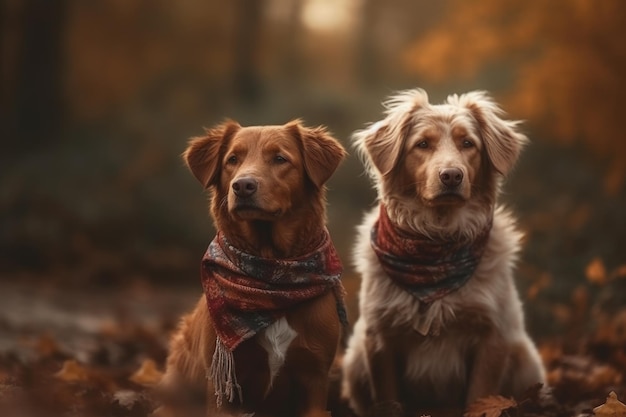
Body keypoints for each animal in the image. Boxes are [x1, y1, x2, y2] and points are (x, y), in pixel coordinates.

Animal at [157, 118, 346, 414]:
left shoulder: (314, 379)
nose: (243, 186)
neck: (271, 273)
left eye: (280, 158)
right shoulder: (225, 385)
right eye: (232, 160)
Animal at [338, 89, 544, 414]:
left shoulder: (493, 335)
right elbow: (389, 400)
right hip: (355, 359)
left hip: (525, 357)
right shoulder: (380, 338)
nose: (451, 176)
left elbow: (479, 397)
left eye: (468, 143)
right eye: (422, 144)